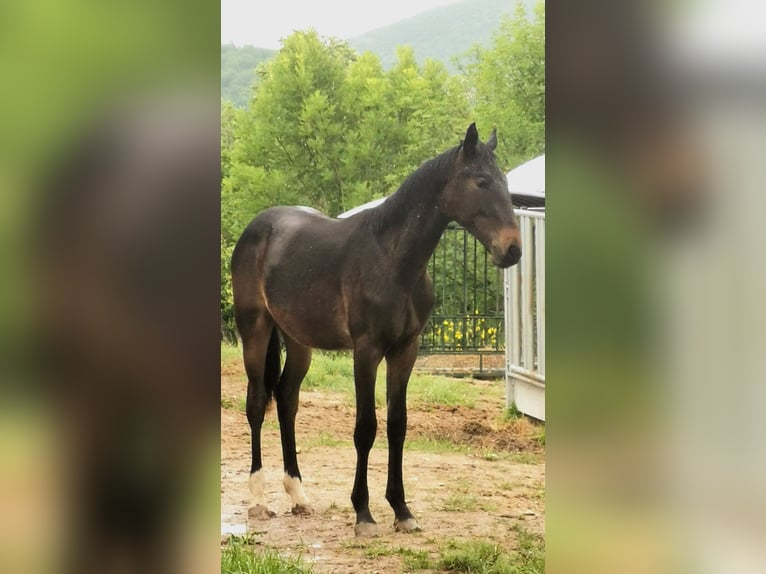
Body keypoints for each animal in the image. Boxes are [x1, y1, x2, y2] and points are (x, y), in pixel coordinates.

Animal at [232, 124, 520, 536]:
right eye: (481, 181)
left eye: (505, 182)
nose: (512, 250)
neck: (391, 259)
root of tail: (256, 228)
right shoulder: (366, 351)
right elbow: (365, 427)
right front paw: (363, 513)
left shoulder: (405, 350)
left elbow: (397, 425)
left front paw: (401, 510)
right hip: (255, 330)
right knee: (257, 403)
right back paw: (257, 499)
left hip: (299, 341)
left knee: (287, 400)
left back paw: (298, 496)